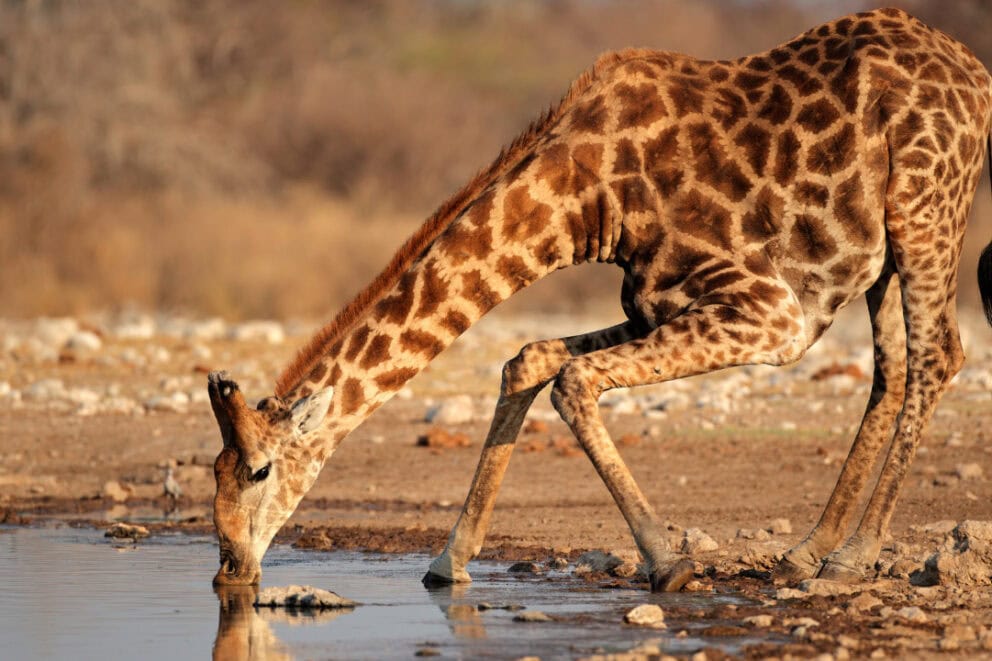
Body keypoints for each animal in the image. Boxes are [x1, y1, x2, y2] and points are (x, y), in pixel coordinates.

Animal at [209, 7, 992, 591]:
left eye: (258, 469)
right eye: (213, 472)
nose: (229, 570)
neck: (586, 199)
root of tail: (976, 72)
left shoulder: (770, 316)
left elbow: (574, 380)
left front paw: (669, 562)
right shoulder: (652, 304)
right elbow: (530, 360)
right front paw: (447, 562)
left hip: (925, 207)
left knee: (937, 353)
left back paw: (853, 556)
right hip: (879, 252)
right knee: (893, 368)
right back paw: (810, 551)